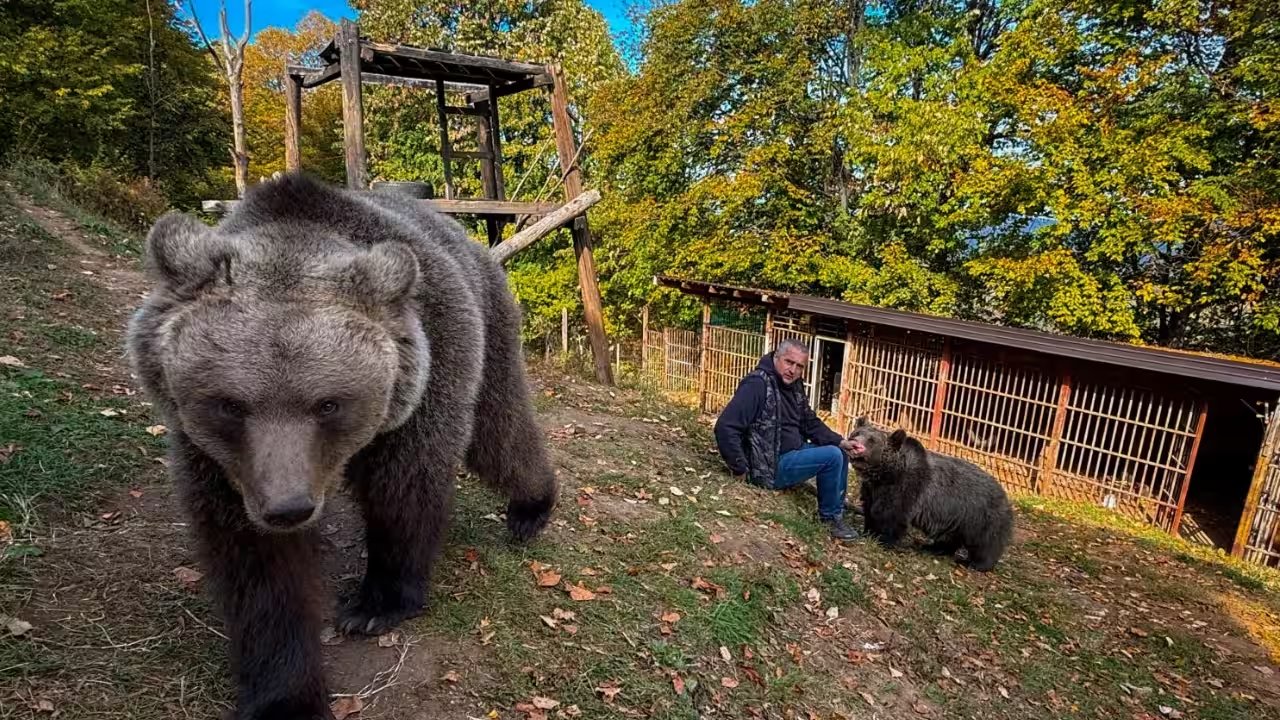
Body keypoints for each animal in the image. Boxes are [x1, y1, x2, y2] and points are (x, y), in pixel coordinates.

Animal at [125, 172, 558, 719]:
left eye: (328, 403)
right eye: (229, 404)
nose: (288, 508)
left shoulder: (428, 375)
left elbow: (404, 490)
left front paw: (375, 605)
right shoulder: (220, 464)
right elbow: (258, 568)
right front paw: (286, 695)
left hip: (491, 326)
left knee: (499, 430)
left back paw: (531, 507)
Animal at [844, 417, 1013, 571]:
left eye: (872, 440)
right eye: (857, 433)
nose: (853, 443)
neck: (884, 474)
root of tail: (1005, 496)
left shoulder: (905, 489)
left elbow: (891, 517)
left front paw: (883, 540)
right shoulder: (872, 490)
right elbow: (870, 511)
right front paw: (868, 532)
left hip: (979, 516)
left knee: (985, 543)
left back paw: (976, 564)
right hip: (955, 518)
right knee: (949, 537)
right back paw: (933, 548)